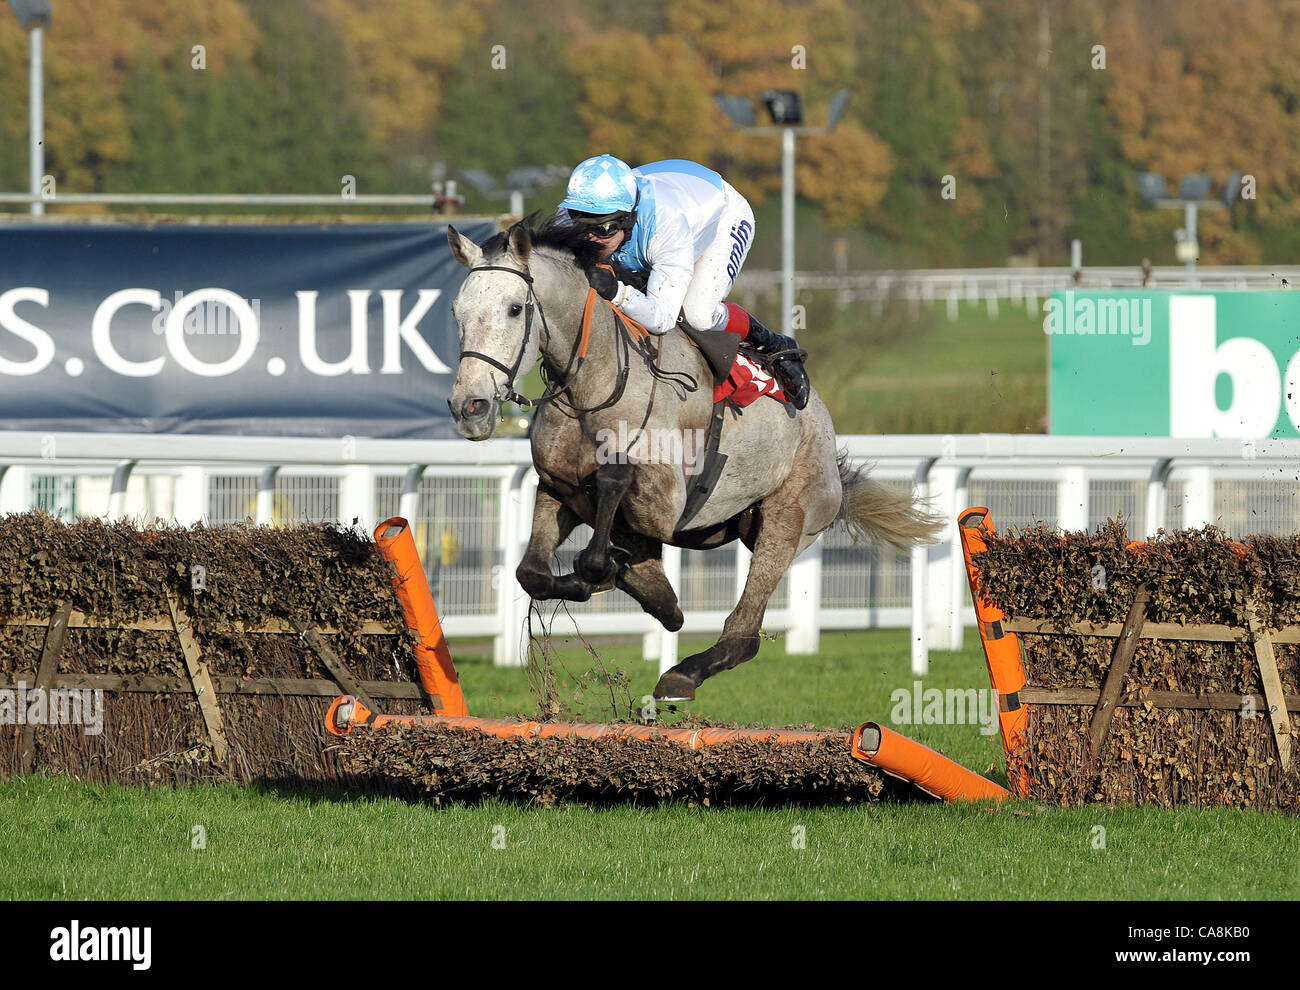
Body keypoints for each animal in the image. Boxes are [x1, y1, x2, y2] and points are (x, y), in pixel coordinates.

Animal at [447, 218, 946, 696]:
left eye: (515, 308)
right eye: (457, 311)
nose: (469, 406)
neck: (594, 380)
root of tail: (824, 430)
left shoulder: (666, 502)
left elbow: (612, 495)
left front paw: (617, 575)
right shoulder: (558, 487)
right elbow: (531, 572)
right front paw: (637, 586)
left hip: (788, 517)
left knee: (744, 634)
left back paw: (683, 673)